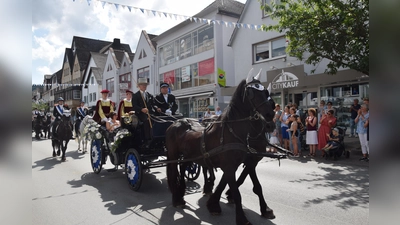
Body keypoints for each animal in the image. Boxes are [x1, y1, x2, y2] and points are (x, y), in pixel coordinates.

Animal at [165, 71, 276, 225]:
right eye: (251, 93)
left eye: (265, 92)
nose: (270, 116)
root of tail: (176, 123)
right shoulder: (231, 165)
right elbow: (237, 192)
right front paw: (241, 218)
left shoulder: (246, 162)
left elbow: (253, 186)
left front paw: (214, 204)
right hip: (173, 155)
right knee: (174, 172)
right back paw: (177, 198)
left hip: (189, 155)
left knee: (183, 168)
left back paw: (183, 192)